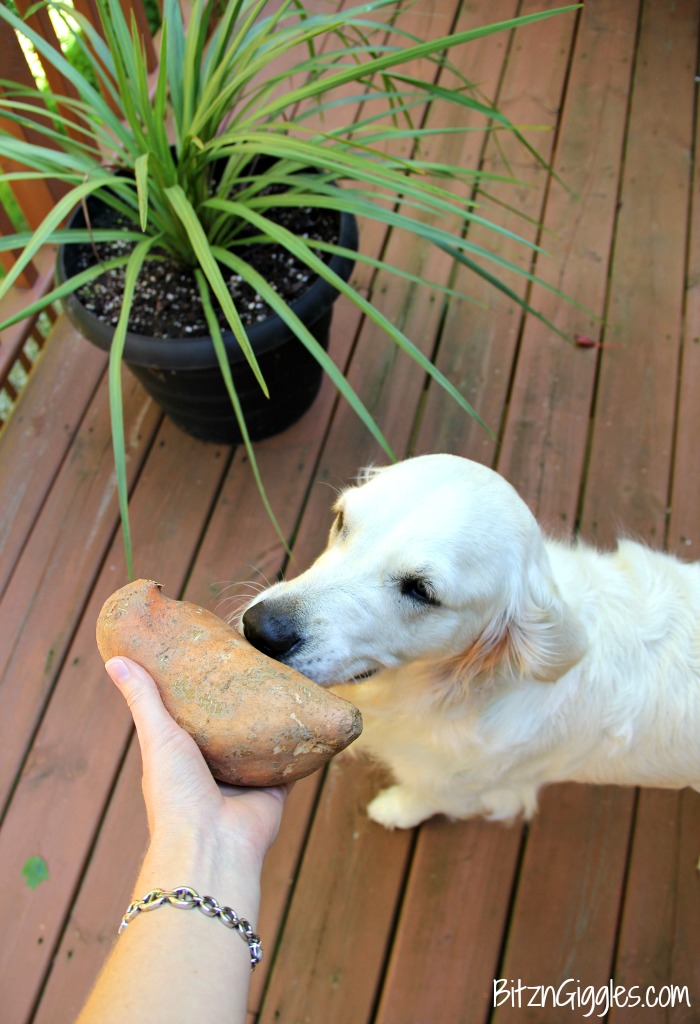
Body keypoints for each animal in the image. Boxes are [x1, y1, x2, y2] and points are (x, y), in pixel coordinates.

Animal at [240, 452, 700, 827]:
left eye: (421, 590)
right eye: (341, 521)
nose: (260, 628)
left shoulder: (463, 789)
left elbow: (422, 800)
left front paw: (394, 811)